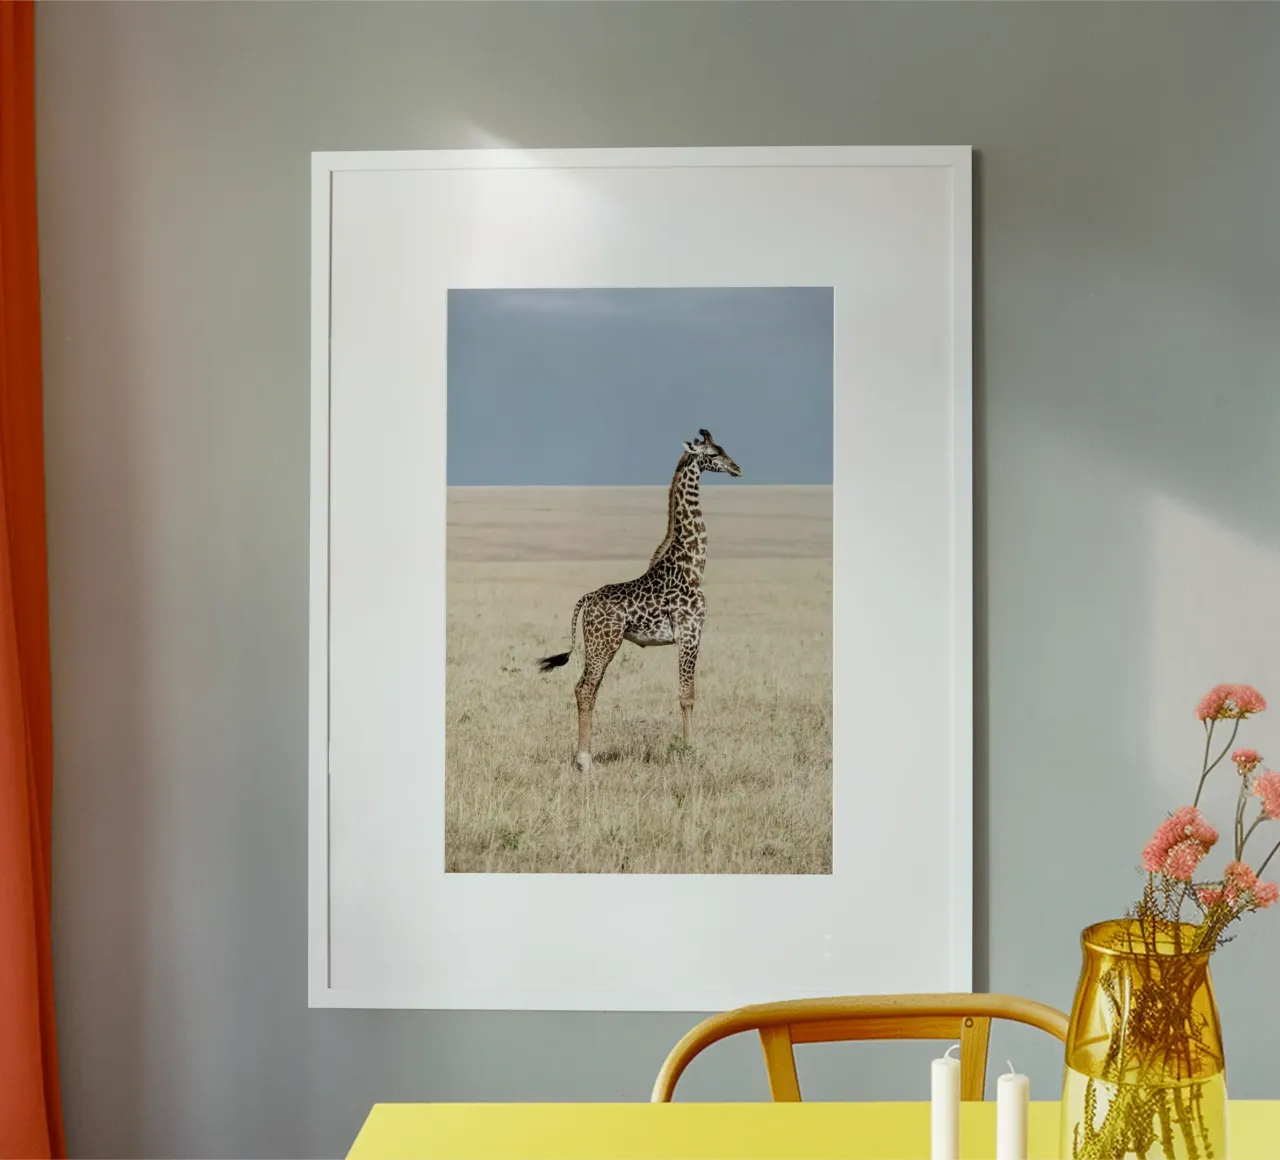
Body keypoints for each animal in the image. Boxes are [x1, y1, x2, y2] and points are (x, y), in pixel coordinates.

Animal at [537, 429, 743, 772]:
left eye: (723, 449)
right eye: (713, 454)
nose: (737, 469)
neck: (692, 566)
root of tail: (587, 599)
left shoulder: (689, 635)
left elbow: (686, 693)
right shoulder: (690, 633)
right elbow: (687, 695)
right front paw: (689, 751)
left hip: (599, 645)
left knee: (587, 689)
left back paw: (586, 757)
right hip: (603, 643)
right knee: (584, 688)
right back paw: (584, 761)